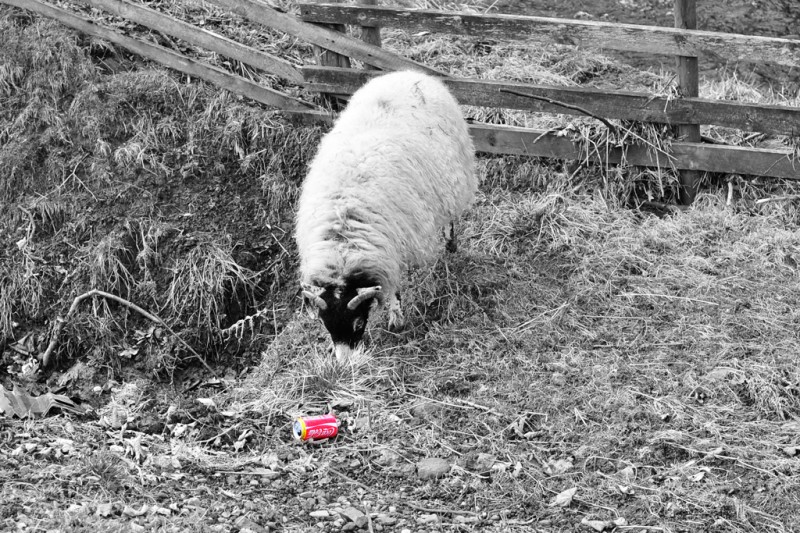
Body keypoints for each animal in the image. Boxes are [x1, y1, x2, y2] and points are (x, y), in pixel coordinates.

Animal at [296, 68, 478, 356]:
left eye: (359, 324)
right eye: (327, 326)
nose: (345, 364)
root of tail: (407, 73)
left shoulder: (390, 248)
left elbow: (392, 289)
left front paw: (396, 320)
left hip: (450, 175)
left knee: (449, 216)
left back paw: (451, 243)